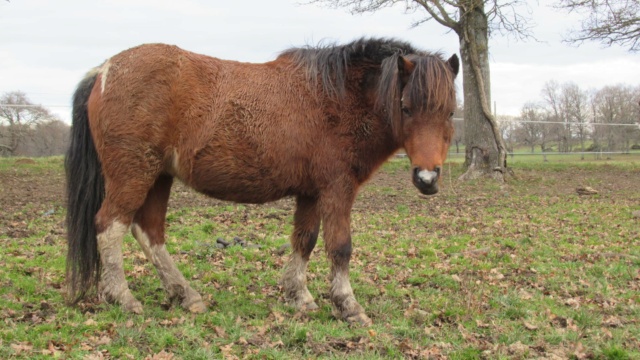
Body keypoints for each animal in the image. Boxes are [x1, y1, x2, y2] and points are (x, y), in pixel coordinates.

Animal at [66, 37, 460, 326]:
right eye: (406, 108)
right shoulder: (337, 189)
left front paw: (299, 296)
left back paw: (186, 296)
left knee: (149, 232)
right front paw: (348, 307)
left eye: (449, 112)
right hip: (134, 174)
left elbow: (305, 240)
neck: (337, 98)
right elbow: (340, 247)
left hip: (158, 178)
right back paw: (123, 298)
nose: (427, 178)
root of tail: (104, 70)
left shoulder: (310, 193)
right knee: (110, 226)